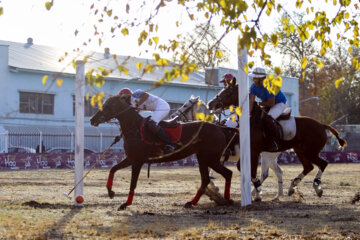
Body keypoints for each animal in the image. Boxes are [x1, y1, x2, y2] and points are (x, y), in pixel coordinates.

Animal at [90, 94, 236, 209]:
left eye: (107, 106)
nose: (92, 120)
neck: (134, 129)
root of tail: (219, 128)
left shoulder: (137, 161)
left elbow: (133, 183)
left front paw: (126, 203)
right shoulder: (130, 158)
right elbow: (112, 169)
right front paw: (111, 192)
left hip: (211, 159)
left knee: (227, 173)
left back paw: (227, 199)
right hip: (203, 159)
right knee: (206, 180)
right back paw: (192, 202)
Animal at [207, 81, 348, 201]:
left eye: (227, 92)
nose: (210, 104)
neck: (251, 120)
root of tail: (322, 125)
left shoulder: (254, 151)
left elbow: (248, 170)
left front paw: (257, 191)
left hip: (308, 151)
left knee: (322, 164)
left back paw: (317, 187)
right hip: (300, 150)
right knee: (308, 167)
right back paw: (291, 187)